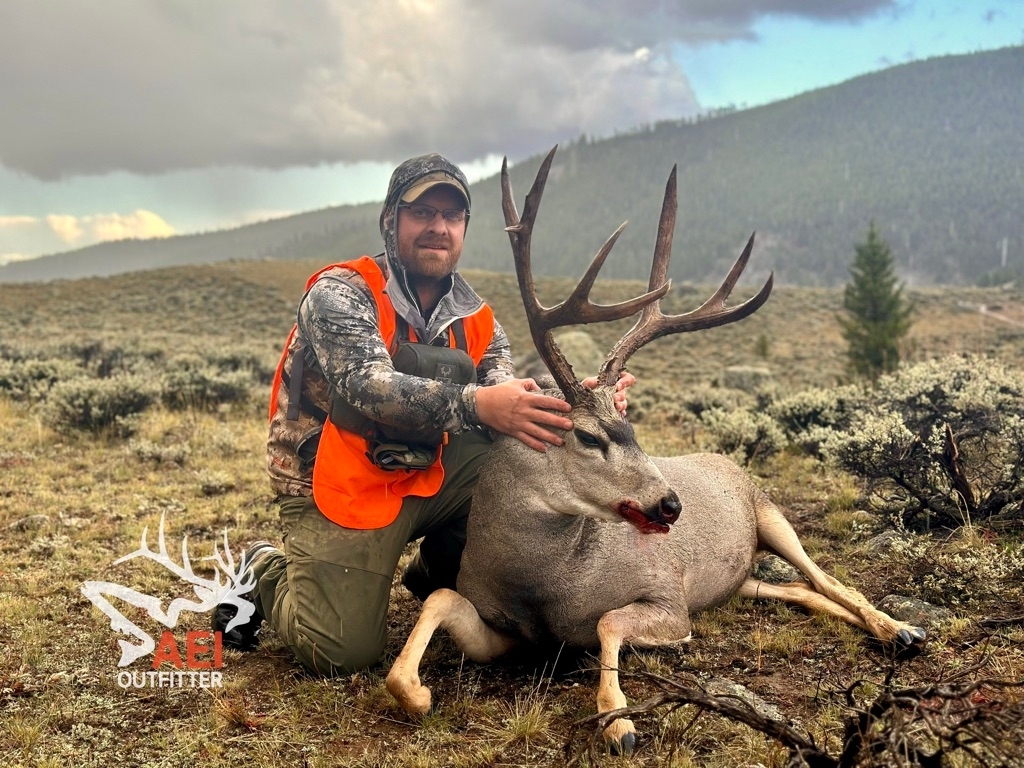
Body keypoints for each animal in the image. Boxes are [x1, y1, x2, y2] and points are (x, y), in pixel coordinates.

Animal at [385, 147, 927, 755]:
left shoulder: (670, 600)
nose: (671, 503)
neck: (541, 580)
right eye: (588, 436)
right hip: (740, 577)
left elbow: (607, 624)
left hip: (772, 514)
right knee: (797, 590)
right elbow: (438, 598)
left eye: (632, 427)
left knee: (828, 578)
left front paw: (620, 722)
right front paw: (416, 692)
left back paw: (902, 630)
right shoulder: (505, 630)